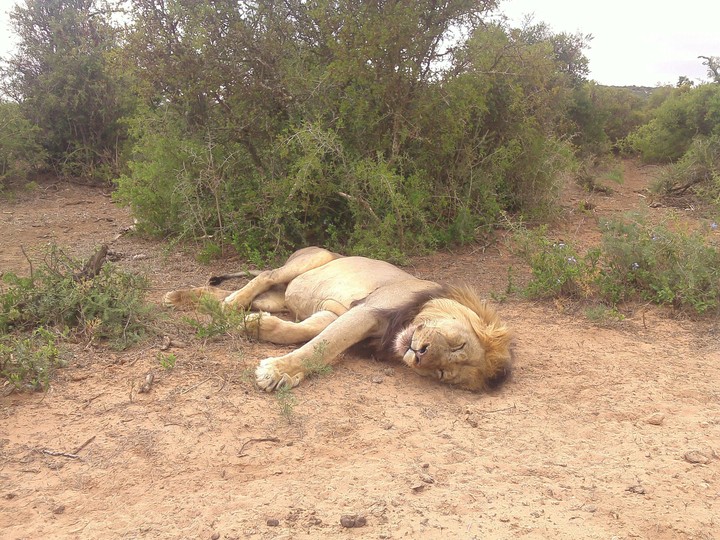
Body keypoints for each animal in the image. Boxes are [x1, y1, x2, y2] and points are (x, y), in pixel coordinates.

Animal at [164, 247, 513, 392]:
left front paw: (256, 326)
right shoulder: (366, 309)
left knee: (229, 294)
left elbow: (304, 333)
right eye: (458, 344)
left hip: (277, 296)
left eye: (443, 374)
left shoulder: (334, 312)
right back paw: (222, 303)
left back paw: (187, 298)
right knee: (262, 276)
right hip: (314, 258)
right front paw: (277, 372)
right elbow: (325, 345)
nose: (420, 354)